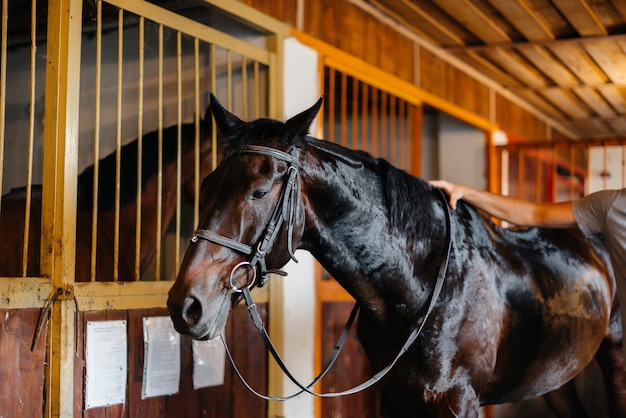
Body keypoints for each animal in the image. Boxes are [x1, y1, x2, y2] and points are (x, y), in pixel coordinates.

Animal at [167, 95, 624, 418]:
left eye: (259, 192)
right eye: (205, 186)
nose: (185, 305)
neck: (422, 286)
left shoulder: (460, 402)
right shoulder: (395, 398)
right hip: (556, 374)